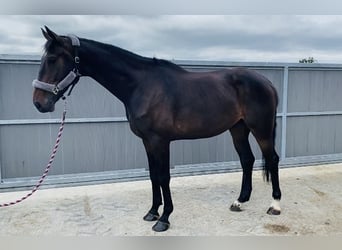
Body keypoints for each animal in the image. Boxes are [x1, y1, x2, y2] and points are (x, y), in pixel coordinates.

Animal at [33, 27, 282, 232]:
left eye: (53, 59)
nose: (39, 103)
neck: (142, 86)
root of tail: (266, 82)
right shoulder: (147, 141)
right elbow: (153, 176)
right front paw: (152, 212)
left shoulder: (160, 141)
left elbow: (163, 177)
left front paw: (164, 219)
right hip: (238, 129)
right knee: (247, 160)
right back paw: (239, 201)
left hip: (261, 128)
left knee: (272, 159)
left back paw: (275, 205)